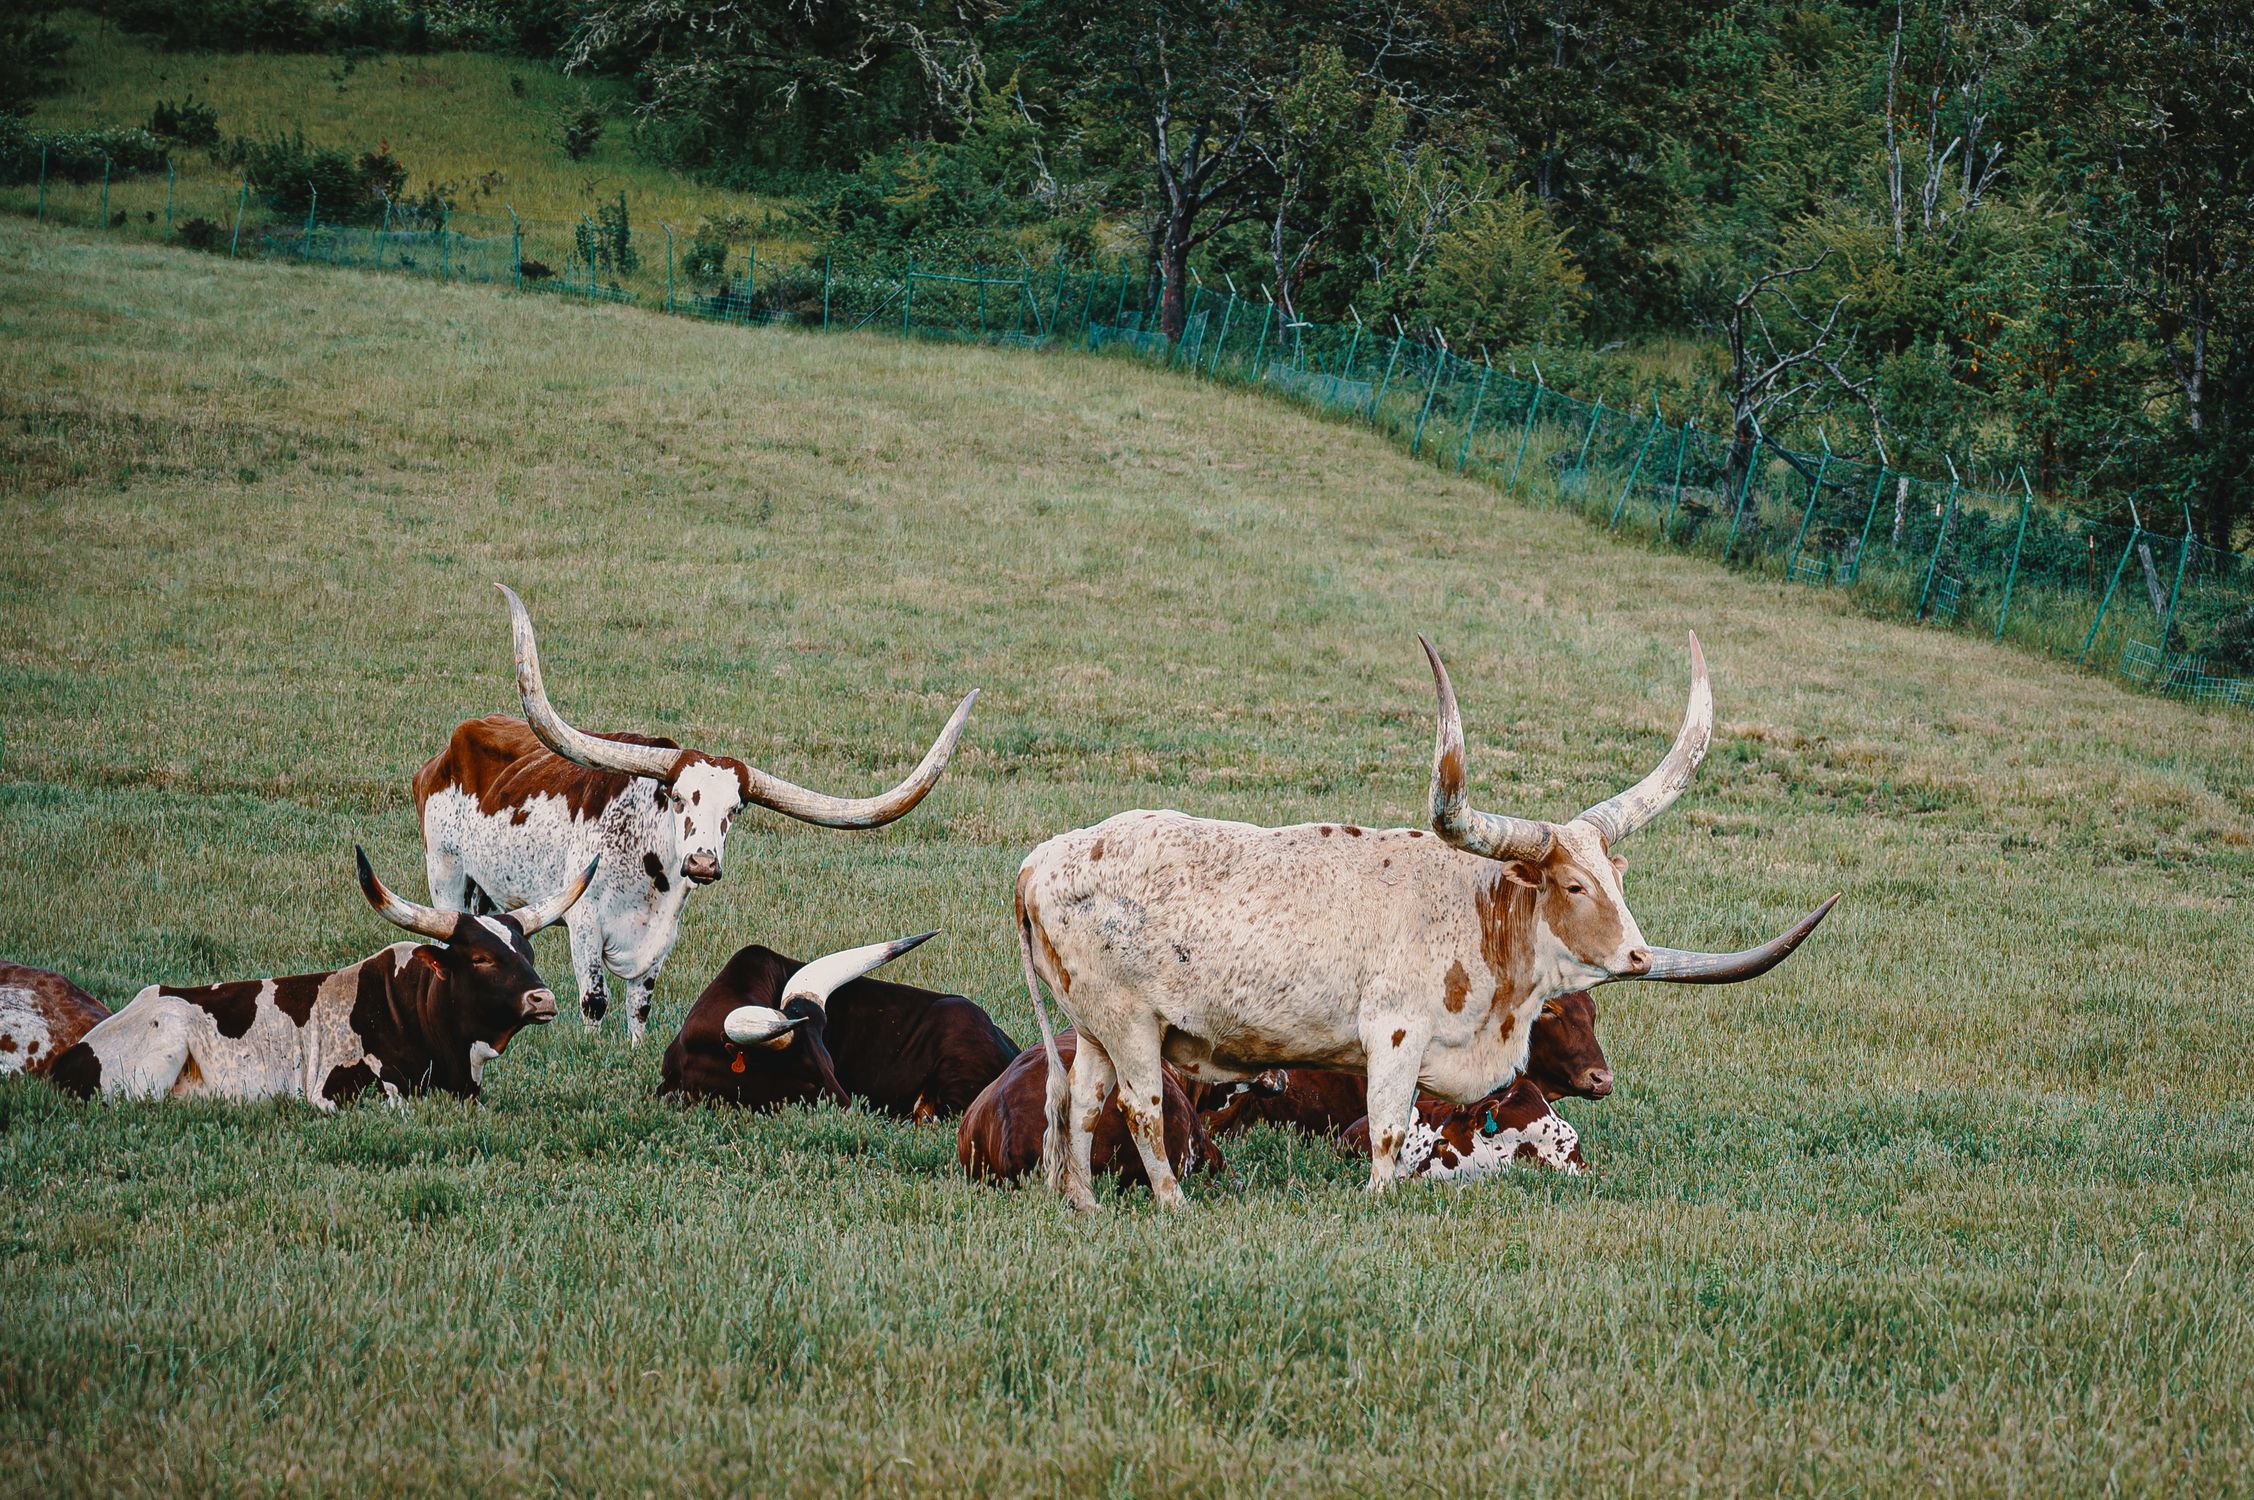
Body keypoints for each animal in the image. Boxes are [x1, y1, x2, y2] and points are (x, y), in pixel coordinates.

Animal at [414, 585, 978, 1042]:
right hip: (446, 871)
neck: (645, 867)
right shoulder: (584, 922)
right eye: (678, 797)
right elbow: (594, 1002)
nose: (703, 863)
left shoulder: (661, 939)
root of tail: (449, 747)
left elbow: (639, 1007)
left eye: (736, 808)